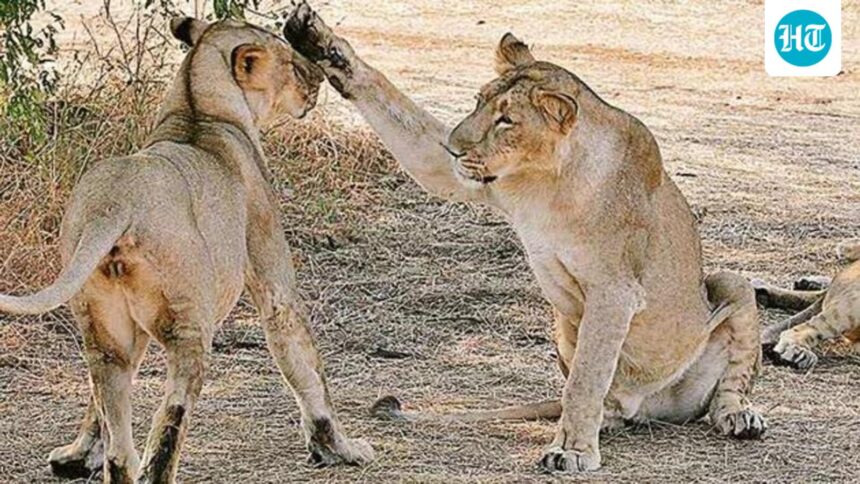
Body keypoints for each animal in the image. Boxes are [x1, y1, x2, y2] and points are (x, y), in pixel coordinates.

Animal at [0, 17, 372, 483]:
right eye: (290, 60)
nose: (318, 78)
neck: (198, 110)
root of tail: (116, 203)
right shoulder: (273, 277)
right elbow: (305, 364)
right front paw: (340, 448)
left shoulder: (127, 335)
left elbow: (96, 408)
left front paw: (77, 455)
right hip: (190, 325)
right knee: (171, 417)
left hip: (104, 330)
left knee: (118, 436)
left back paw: (114, 463)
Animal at [283, 2, 765, 474]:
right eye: (478, 102)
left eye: (507, 120)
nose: (455, 147)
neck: (547, 182)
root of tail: (647, 407)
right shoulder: (465, 178)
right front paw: (318, 41)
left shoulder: (615, 290)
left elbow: (586, 377)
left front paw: (571, 451)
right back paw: (609, 421)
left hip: (731, 283)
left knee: (729, 382)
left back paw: (739, 416)